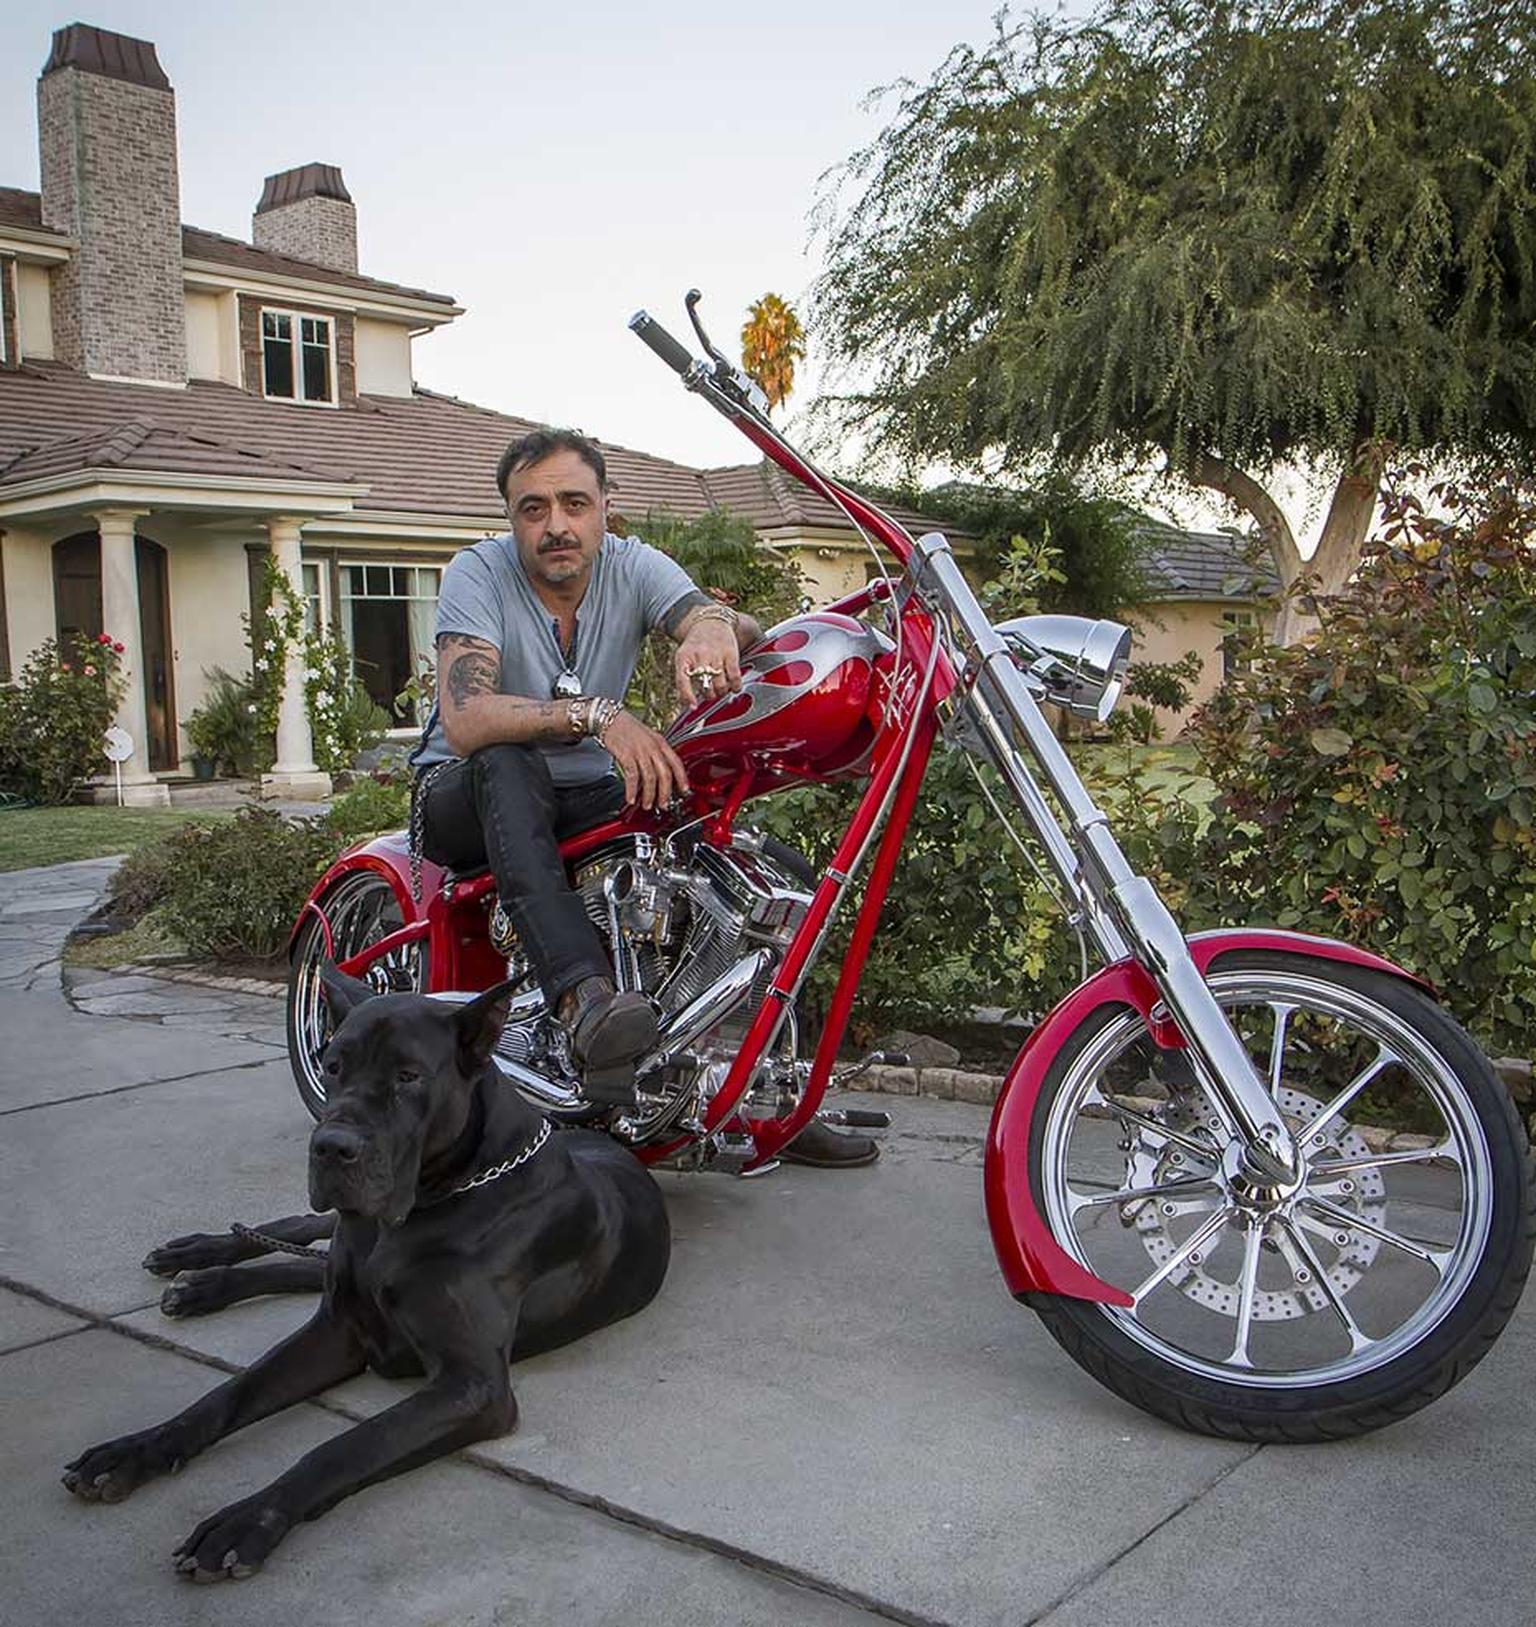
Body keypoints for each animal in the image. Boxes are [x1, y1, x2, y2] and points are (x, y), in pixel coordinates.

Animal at [63, 963, 670, 1574]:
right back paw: (196, 1263)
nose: (331, 1146)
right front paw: (136, 1449)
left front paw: (245, 1521)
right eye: (333, 1066)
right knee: (296, 1231)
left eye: (408, 1076)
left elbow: (347, 1446)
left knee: (302, 1268)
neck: (422, 1206)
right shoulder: (338, 1330)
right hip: (334, 1240)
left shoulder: (472, 1385)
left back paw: (202, 1284)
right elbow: (230, 1393)